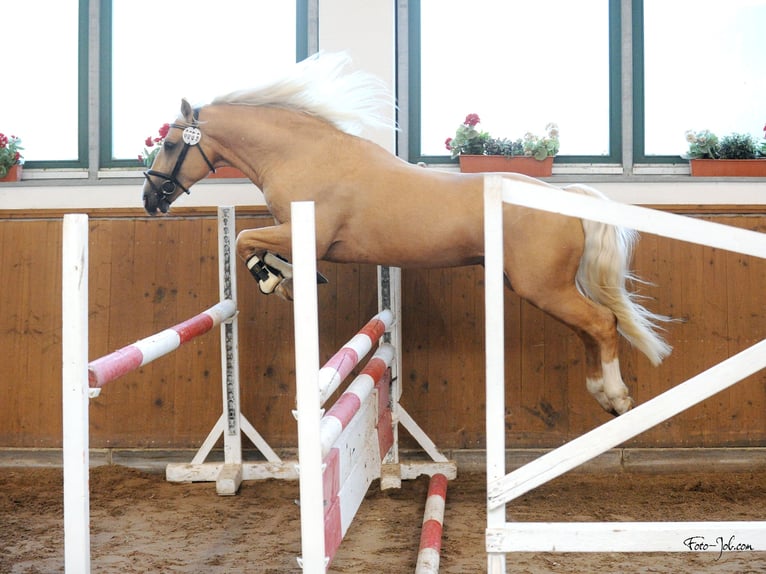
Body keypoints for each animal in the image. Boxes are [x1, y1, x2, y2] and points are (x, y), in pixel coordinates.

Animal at [144, 51, 672, 416]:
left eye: (169, 143)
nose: (151, 200)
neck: (306, 155)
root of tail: (566, 197)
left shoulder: (306, 235)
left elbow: (245, 241)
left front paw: (276, 280)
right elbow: (250, 242)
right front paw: (288, 278)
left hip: (542, 287)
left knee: (602, 323)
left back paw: (617, 396)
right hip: (543, 287)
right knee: (591, 327)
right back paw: (601, 393)